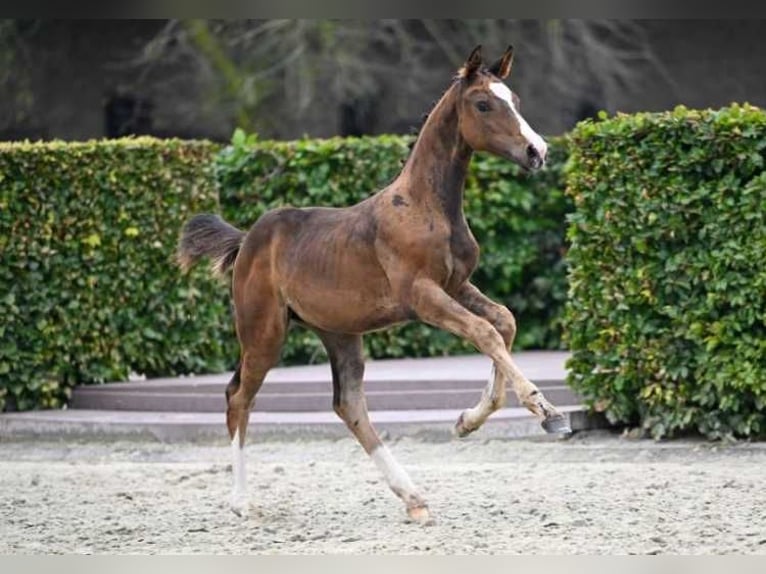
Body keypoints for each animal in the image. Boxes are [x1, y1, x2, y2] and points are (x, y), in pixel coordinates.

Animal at [178, 42, 568, 524]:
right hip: (264, 332)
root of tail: (248, 239)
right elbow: (486, 332)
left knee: (348, 404)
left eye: (513, 99)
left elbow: (504, 323)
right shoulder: (422, 296)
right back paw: (241, 502)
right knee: (238, 396)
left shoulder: (456, 287)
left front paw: (467, 421)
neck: (424, 205)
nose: (537, 151)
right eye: (483, 104)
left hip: (339, 332)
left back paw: (413, 497)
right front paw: (547, 411)